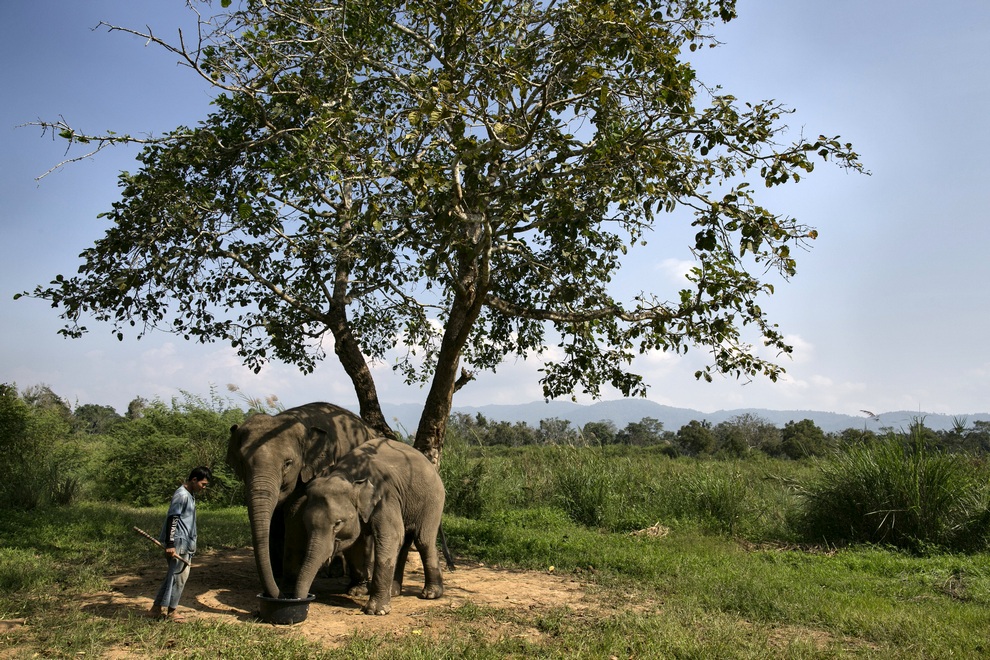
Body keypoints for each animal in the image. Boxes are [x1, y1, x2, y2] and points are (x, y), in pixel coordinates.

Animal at [227, 402, 378, 600]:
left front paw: (288, 589)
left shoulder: (318, 470)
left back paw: (356, 589)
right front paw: (278, 580)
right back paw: (330, 573)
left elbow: (295, 512)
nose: (276, 595)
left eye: (287, 463)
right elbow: (276, 519)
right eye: (242, 463)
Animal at [294, 438, 446, 612]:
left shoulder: (385, 497)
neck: (347, 476)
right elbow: (356, 544)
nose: (304, 601)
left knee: (423, 540)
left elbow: (390, 536)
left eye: (337, 523)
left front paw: (375, 610)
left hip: (433, 500)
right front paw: (356, 592)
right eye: (305, 523)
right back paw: (394, 592)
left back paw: (431, 594)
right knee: (404, 543)